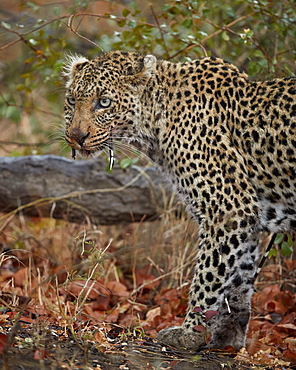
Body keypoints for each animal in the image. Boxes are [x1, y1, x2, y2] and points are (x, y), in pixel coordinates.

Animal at [63, 50, 296, 352]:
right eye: (71, 100)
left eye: (104, 102)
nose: (76, 136)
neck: (156, 125)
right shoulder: (247, 218)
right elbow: (238, 280)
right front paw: (228, 338)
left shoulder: (228, 209)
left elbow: (209, 274)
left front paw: (189, 333)